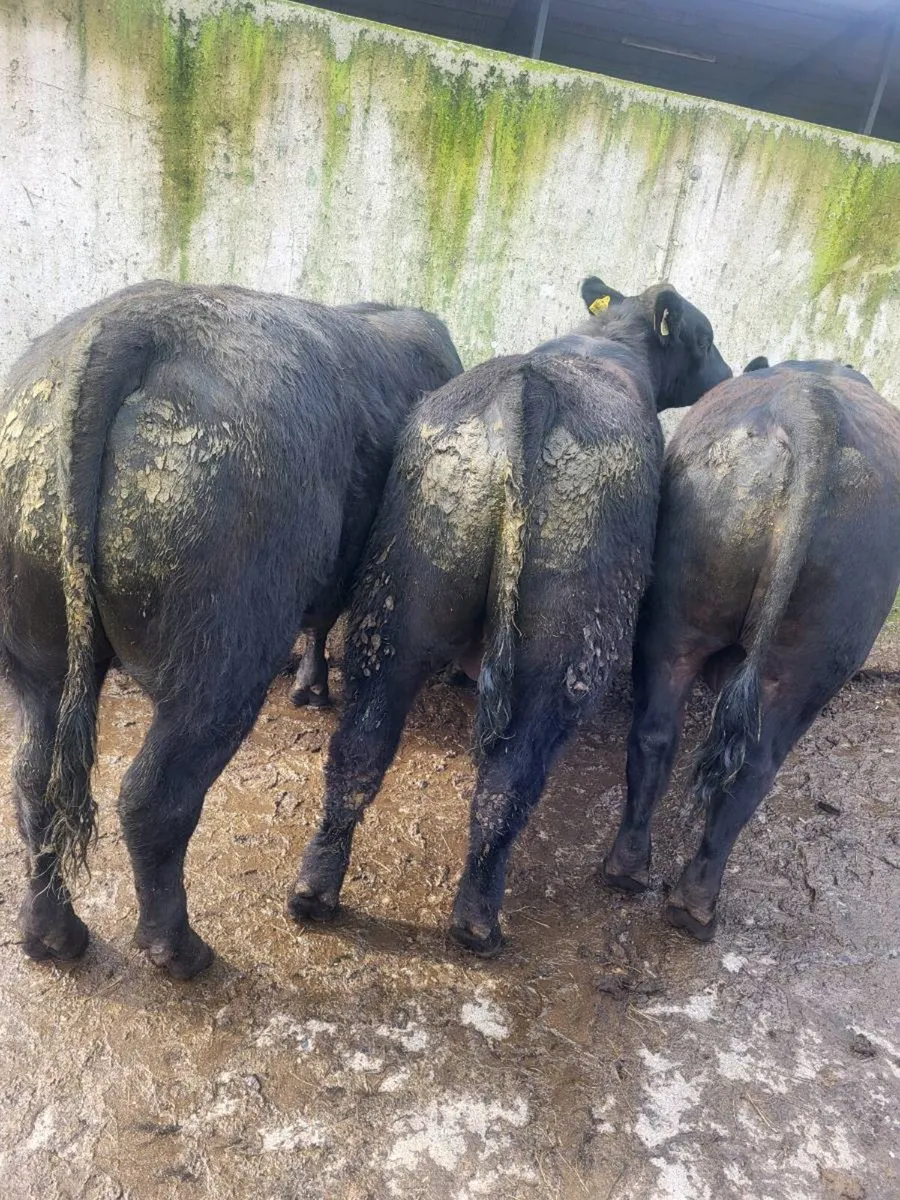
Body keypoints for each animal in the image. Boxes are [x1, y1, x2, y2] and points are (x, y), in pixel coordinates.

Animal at [0, 280, 462, 979]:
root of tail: (136, 320)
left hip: (36, 651)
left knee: (34, 780)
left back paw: (52, 934)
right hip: (219, 663)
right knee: (153, 800)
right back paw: (178, 949)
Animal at [286, 277, 731, 956]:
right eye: (703, 338)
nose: (729, 374)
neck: (604, 340)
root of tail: (525, 394)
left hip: (400, 600)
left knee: (359, 747)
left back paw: (315, 888)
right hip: (568, 648)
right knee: (510, 780)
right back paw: (477, 920)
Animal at [603, 360, 900, 939]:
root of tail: (810, 408)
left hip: (675, 621)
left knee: (656, 737)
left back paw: (632, 872)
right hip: (807, 670)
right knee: (753, 771)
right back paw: (695, 905)